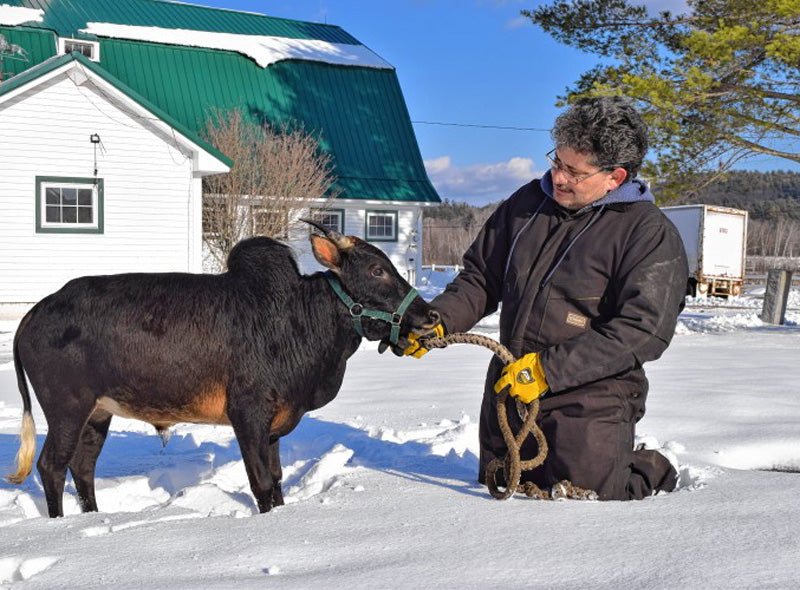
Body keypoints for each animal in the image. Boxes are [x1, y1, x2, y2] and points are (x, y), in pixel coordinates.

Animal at [7, 224, 438, 520]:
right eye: (376, 270)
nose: (430, 314)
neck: (301, 320)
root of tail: (36, 311)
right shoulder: (247, 412)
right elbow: (261, 482)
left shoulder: (273, 424)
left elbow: (276, 480)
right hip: (67, 408)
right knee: (51, 467)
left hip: (98, 413)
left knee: (82, 468)